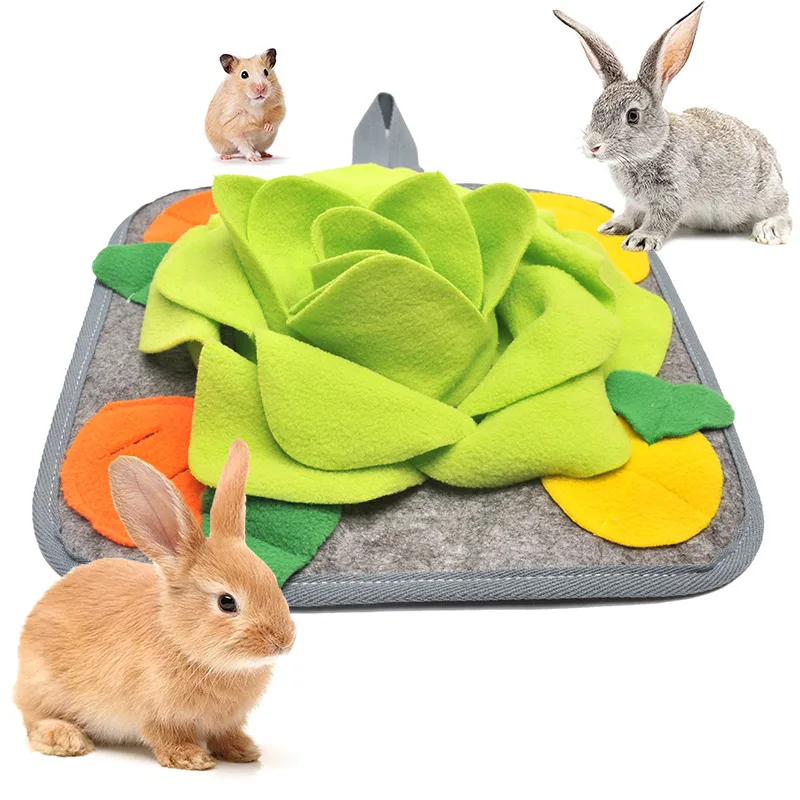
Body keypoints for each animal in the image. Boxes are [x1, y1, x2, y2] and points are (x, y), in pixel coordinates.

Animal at [14, 440, 295, 770]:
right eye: (227, 602)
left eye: (271, 579)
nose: (283, 641)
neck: (183, 642)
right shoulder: (156, 713)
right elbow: (166, 737)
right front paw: (191, 758)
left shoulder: (227, 721)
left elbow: (226, 734)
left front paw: (243, 751)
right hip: (43, 687)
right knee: (34, 721)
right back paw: (66, 739)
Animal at [554, 3, 791, 250]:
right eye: (595, 108)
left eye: (633, 116)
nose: (592, 146)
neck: (652, 150)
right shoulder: (633, 201)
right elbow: (630, 213)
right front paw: (613, 226)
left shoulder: (673, 193)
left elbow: (661, 218)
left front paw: (641, 239)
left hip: (766, 193)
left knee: (784, 213)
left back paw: (768, 230)